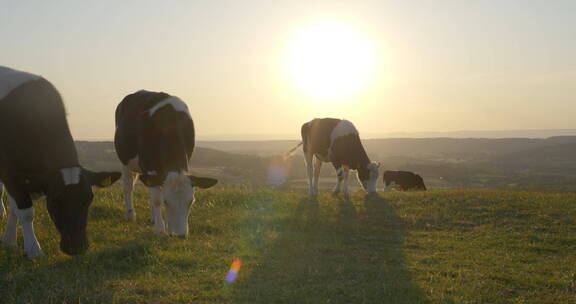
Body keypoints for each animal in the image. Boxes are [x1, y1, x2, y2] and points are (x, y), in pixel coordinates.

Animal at [0, 65, 121, 258]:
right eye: (56, 200)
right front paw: (34, 249)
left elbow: (15, 209)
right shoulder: (10, 172)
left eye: (89, 198)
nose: (76, 247)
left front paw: (9, 241)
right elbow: (26, 212)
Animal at [113, 89, 217, 238]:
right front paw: (160, 229)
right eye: (166, 201)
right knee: (128, 186)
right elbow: (157, 199)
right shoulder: (149, 166)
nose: (180, 235)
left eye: (191, 201)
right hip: (125, 159)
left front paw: (167, 225)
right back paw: (130, 215)